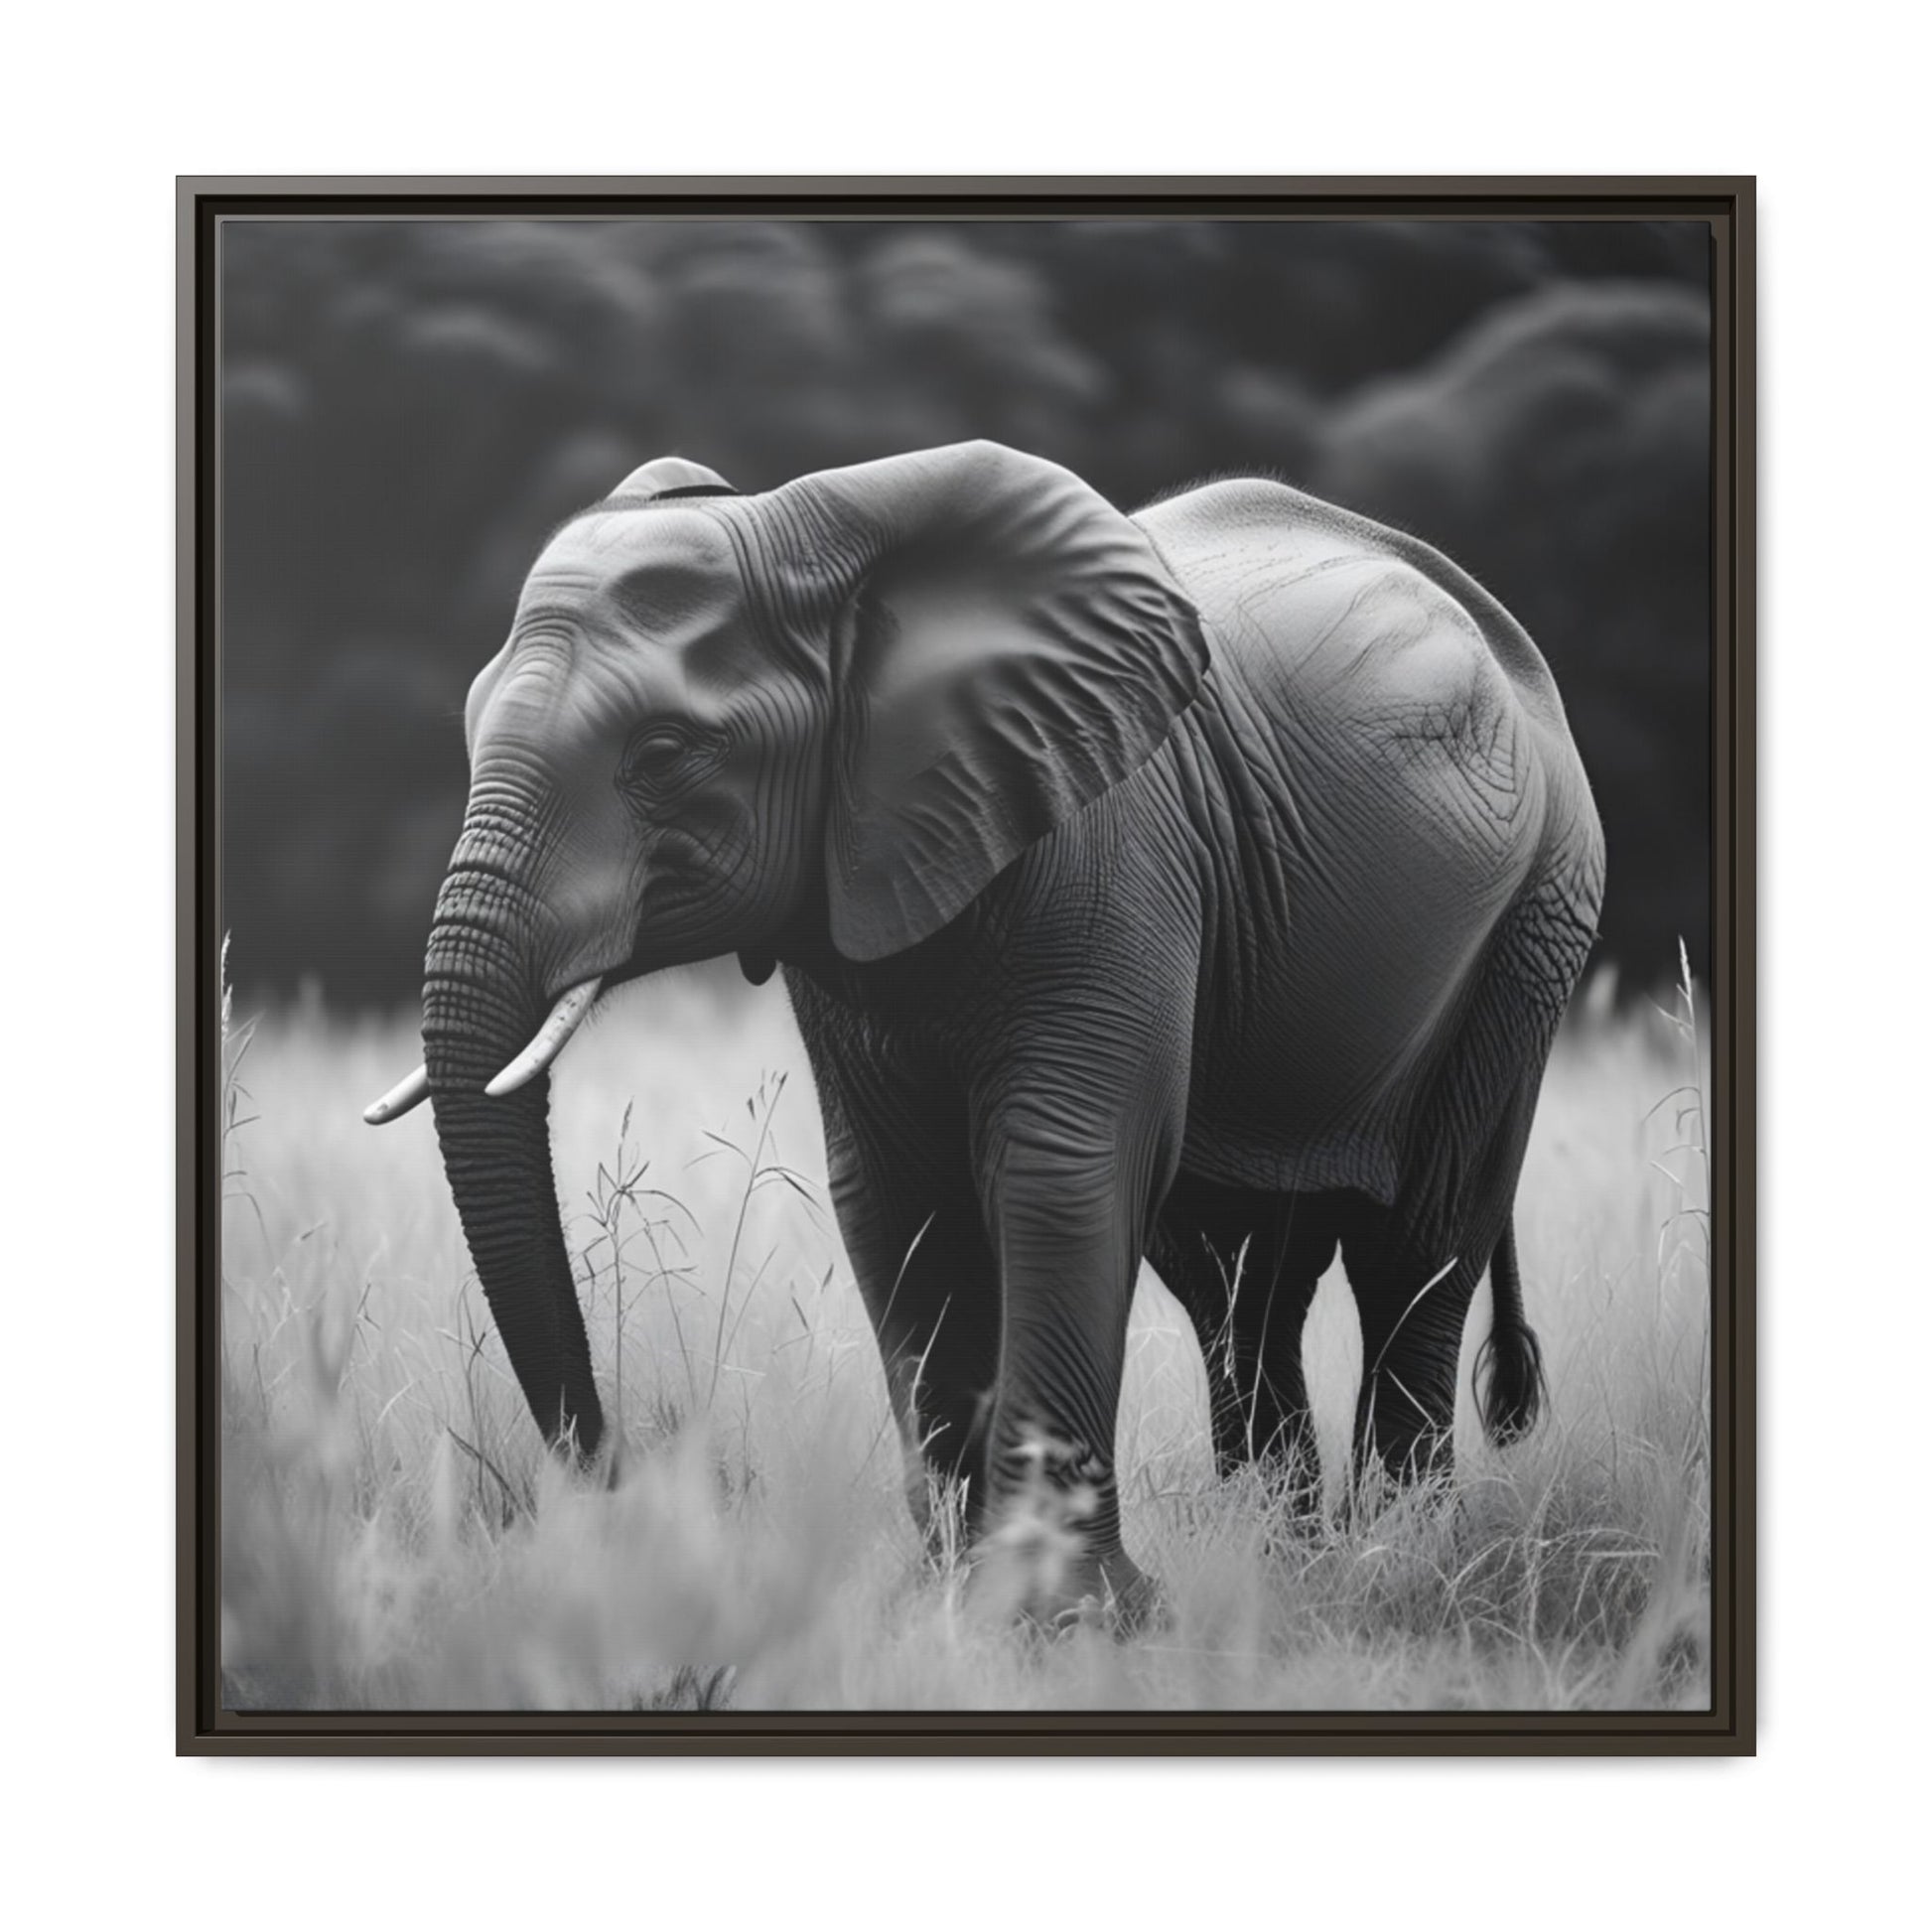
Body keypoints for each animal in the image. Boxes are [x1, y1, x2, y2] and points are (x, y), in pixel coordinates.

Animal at [365, 440, 1604, 1623]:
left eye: (664, 753)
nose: (629, 1492)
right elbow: (891, 1195)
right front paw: (948, 1600)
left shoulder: (1109, 847)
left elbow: (1059, 1168)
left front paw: (1062, 1620)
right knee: (1234, 1275)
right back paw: (1282, 1557)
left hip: (1533, 921)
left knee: (1418, 1242)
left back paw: (1398, 1560)